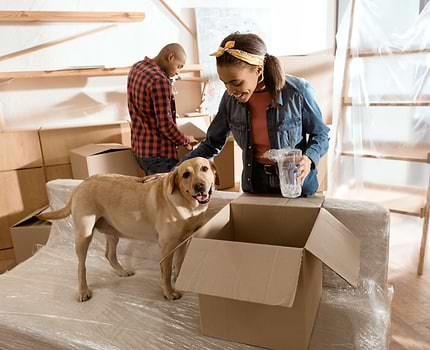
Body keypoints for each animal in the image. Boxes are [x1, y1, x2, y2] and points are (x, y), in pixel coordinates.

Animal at [38, 157, 217, 302]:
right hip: (84, 235)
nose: (199, 186)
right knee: (81, 266)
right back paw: (83, 291)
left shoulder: (184, 241)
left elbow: (179, 264)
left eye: (204, 168)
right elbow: (165, 273)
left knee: (109, 254)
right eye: (185, 174)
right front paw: (169, 292)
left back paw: (122, 271)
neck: (188, 204)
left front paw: (178, 280)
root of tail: (81, 184)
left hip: (112, 232)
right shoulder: (167, 246)